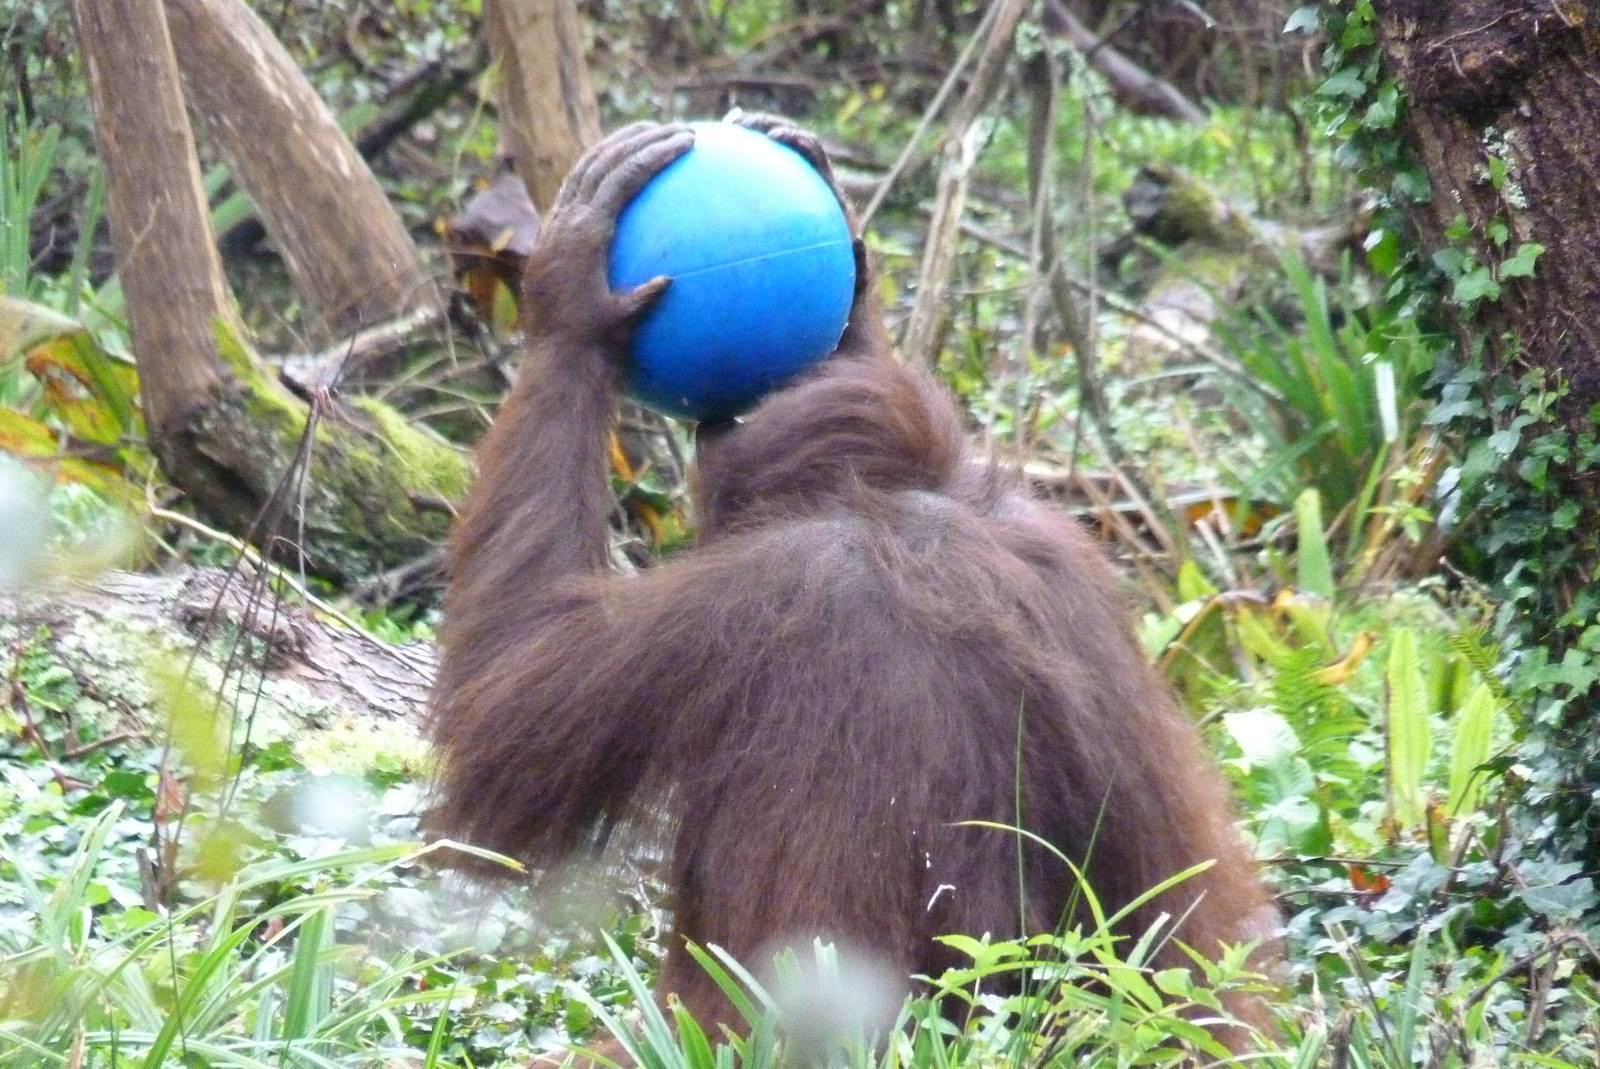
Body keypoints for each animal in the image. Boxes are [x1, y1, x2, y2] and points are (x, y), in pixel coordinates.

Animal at [426, 117, 1278, 1054]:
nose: (717, 432)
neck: (905, 504)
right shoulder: (1066, 551)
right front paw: (858, 303)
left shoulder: (742, 597)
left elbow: (502, 715)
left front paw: (571, 299)